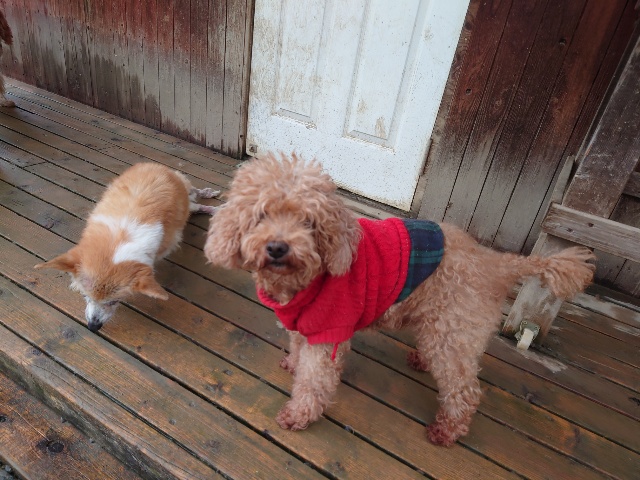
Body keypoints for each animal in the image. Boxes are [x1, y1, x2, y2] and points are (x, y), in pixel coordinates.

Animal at [36, 163, 219, 332]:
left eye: (114, 301)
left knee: (195, 197)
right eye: (85, 296)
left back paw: (211, 199)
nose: (93, 327)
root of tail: (156, 166)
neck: (121, 237)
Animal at [203, 152, 595, 446]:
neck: (301, 282)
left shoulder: (330, 333)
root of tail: (496, 263)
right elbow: (298, 349)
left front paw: (298, 415)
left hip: (453, 333)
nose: (277, 247)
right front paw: (291, 364)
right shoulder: (304, 325)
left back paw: (445, 432)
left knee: (464, 391)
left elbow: (314, 381)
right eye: (261, 215)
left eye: (309, 222)